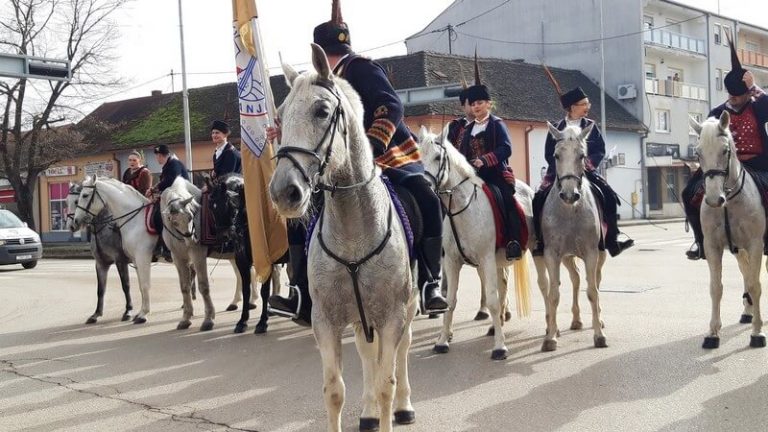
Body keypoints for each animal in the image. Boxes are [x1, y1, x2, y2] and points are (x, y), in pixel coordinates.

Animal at [72, 177, 156, 322]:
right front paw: (96, 314)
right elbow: (100, 289)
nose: (74, 223)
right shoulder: (101, 263)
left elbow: (127, 285)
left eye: (85, 195)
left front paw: (129, 312)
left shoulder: (123, 260)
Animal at [272, 44, 420, 432]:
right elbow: (335, 390)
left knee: (403, 350)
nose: (283, 193)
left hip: (408, 305)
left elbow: (386, 383)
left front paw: (391, 405)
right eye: (280, 115)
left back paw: (405, 406)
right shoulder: (326, 320)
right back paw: (367, 413)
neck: (353, 229)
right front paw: (364, 408)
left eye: (322, 111)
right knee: (367, 354)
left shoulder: (393, 316)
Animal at [416, 128, 536, 362]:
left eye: (437, 157)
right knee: (503, 284)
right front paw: (442, 341)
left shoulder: (486, 259)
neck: (463, 207)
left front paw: (500, 347)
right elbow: (450, 300)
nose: (425, 186)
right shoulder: (452, 262)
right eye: (419, 157)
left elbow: (491, 300)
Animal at [536, 122, 608, 352]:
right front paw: (550, 337)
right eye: (556, 155)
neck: (570, 210)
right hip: (567, 256)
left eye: (582, 155)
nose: (569, 194)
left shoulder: (591, 252)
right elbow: (553, 294)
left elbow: (592, 291)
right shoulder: (552, 254)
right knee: (576, 278)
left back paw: (598, 318)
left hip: (600, 254)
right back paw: (576, 319)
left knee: (596, 280)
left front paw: (599, 335)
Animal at [692, 113, 764, 350]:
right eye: (698, 152)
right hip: (739, 251)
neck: (730, 202)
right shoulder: (712, 246)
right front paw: (713, 333)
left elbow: (755, 285)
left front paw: (757, 332)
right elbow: (716, 287)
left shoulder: (756, 244)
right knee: (745, 273)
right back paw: (748, 312)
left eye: (724, 150)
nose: (715, 199)